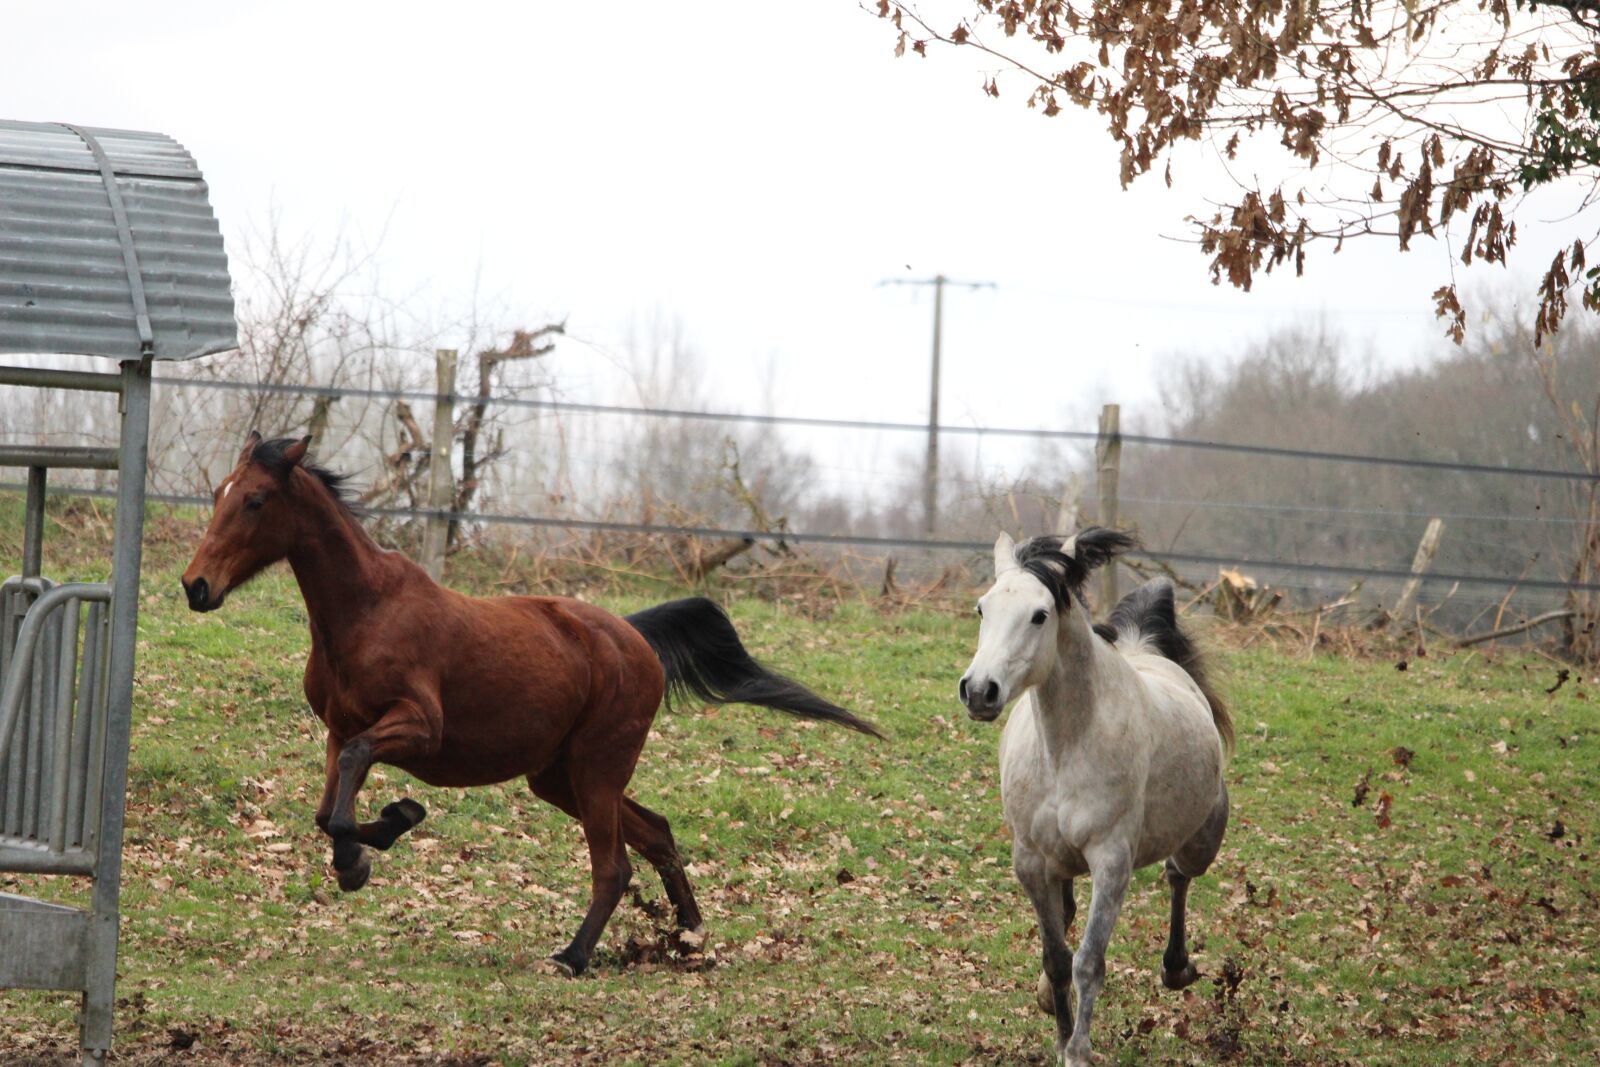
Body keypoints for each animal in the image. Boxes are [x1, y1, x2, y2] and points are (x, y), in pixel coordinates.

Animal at [180, 432, 880, 976]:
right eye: (219, 493)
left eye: (255, 500)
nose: (196, 587)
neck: (365, 613)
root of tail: (634, 637)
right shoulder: (337, 729)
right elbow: (329, 810)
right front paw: (379, 834)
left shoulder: (419, 728)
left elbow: (351, 783)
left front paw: (372, 845)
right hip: (559, 777)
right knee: (656, 832)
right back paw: (688, 939)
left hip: (597, 770)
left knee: (614, 866)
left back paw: (573, 957)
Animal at [958, 528, 1232, 1066]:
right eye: (982, 609)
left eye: (1040, 615)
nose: (980, 691)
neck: (1068, 748)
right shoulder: (1030, 861)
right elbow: (1056, 957)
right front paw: (1061, 1033)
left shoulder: (1111, 862)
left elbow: (1088, 962)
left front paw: (1078, 1050)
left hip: (1201, 842)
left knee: (1178, 876)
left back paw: (1177, 968)